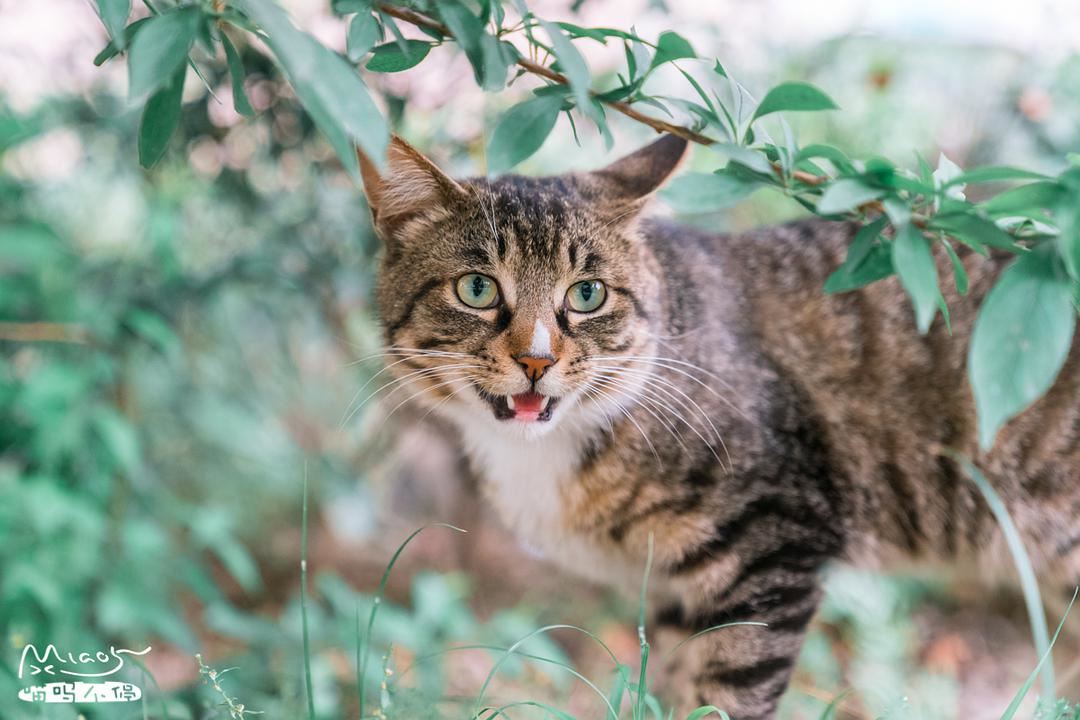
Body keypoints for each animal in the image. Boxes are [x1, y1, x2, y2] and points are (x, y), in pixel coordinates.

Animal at [356, 136, 1080, 720]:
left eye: (587, 295)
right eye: (477, 289)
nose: (537, 360)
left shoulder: (772, 538)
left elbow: (727, 692)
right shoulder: (674, 593)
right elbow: (671, 683)